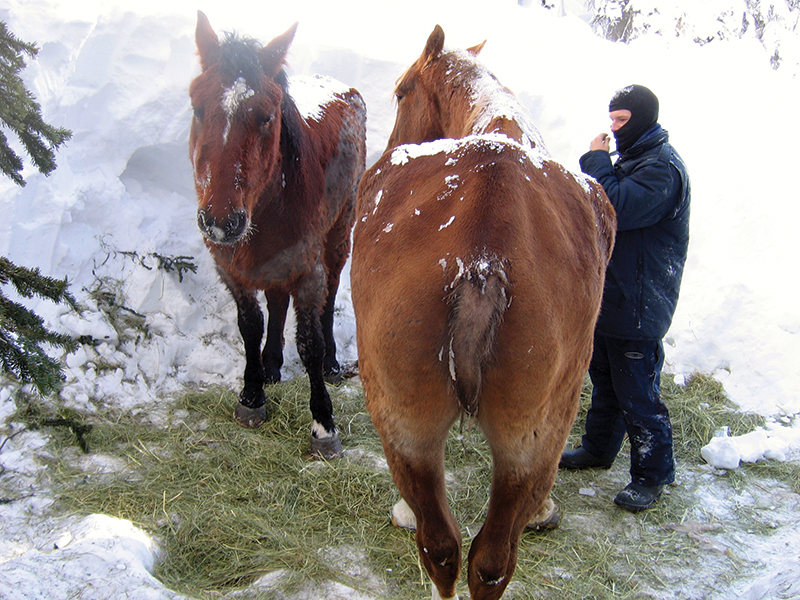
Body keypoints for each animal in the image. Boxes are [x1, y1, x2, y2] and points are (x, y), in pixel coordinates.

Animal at [189, 11, 366, 458]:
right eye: (197, 107)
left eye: (267, 116)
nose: (221, 221)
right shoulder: (231, 267)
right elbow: (250, 325)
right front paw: (252, 395)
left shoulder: (307, 268)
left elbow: (309, 342)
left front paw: (323, 425)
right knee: (276, 298)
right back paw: (271, 364)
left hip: (338, 231)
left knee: (331, 292)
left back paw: (333, 364)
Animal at [351, 26, 615, 599]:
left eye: (401, 92)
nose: (387, 143)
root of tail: (481, 255)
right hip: (522, 441)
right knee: (480, 557)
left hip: (410, 427)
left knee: (446, 548)